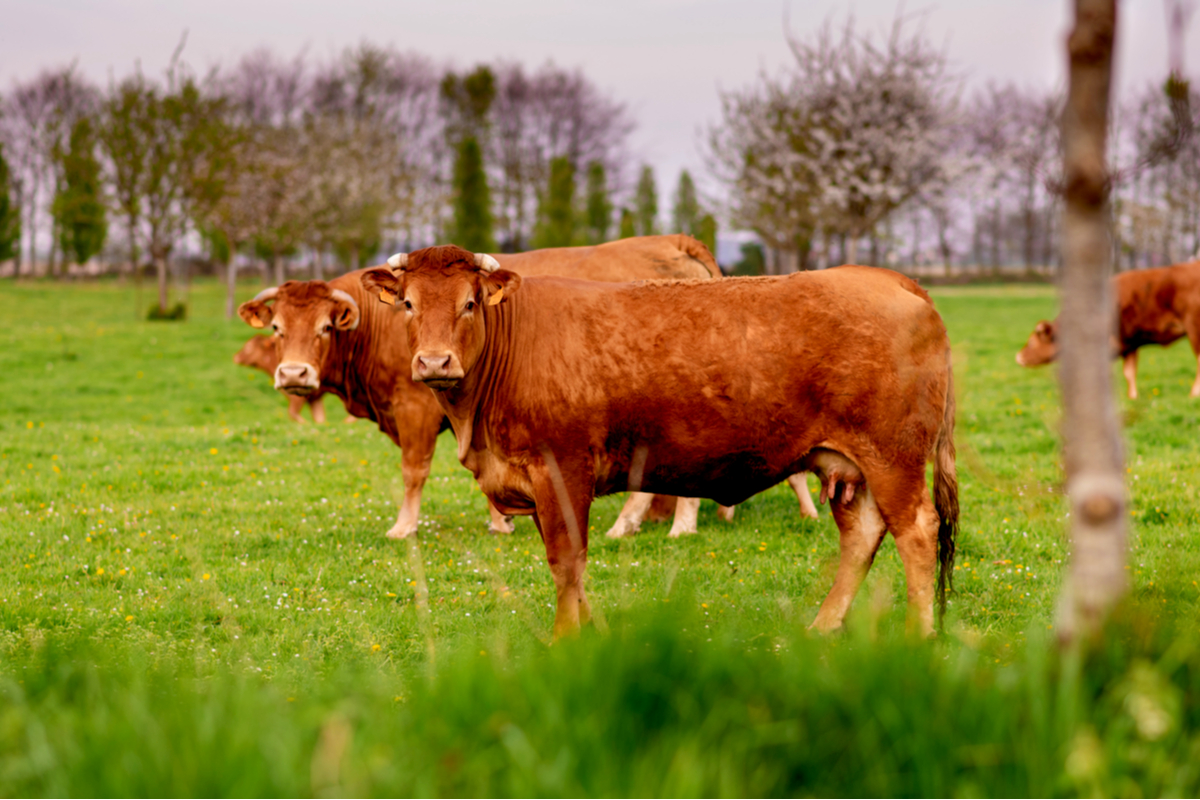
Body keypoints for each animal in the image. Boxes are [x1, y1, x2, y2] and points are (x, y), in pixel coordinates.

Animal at [360, 244, 960, 638]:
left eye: (468, 303)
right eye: (409, 304)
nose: (434, 362)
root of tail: (888, 278)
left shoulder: (561, 470)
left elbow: (566, 561)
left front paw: (564, 640)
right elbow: (571, 566)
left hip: (893, 457)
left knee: (916, 531)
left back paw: (919, 636)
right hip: (847, 465)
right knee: (862, 536)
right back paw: (822, 627)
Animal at [1017, 261, 1200, 400]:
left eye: (1032, 342)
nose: (1018, 356)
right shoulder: (1129, 344)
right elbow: (1129, 373)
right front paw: (1132, 397)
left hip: (1194, 329)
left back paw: (1194, 394)